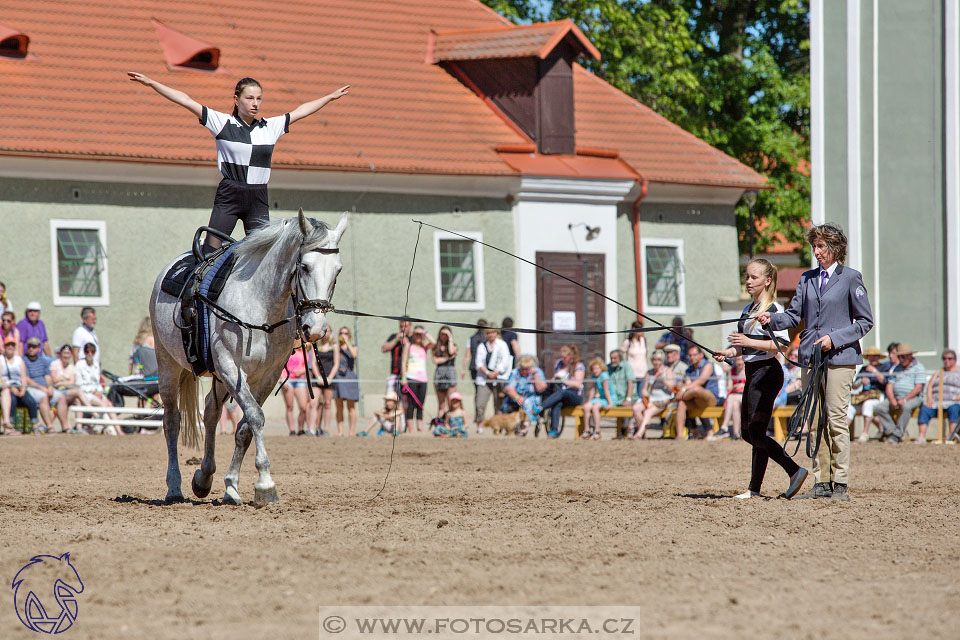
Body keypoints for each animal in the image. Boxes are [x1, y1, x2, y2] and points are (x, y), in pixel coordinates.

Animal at [148, 210, 346, 504]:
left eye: (338, 270)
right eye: (305, 267)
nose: (316, 328)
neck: (261, 306)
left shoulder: (267, 376)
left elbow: (245, 427)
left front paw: (232, 486)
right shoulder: (230, 366)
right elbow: (256, 417)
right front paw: (265, 484)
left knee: (211, 410)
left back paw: (204, 477)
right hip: (168, 365)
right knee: (172, 421)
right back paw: (174, 487)